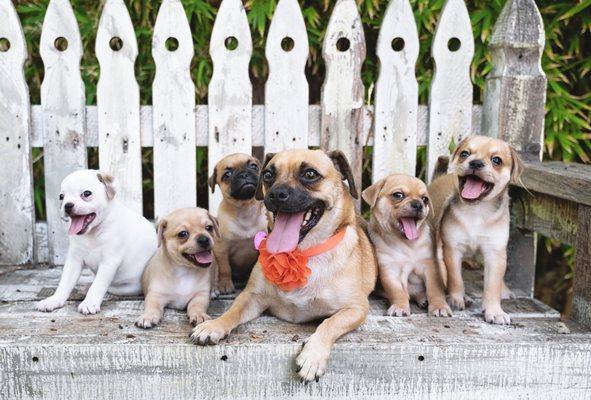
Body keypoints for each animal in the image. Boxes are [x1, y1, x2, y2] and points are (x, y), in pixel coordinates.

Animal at [36, 169, 158, 312]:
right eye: (61, 197)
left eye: (86, 194)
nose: (67, 205)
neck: (92, 234)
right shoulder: (74, 260)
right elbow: (65, 283)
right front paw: (54, 300)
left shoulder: (108, 262)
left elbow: (98, 285)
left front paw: (89, 303)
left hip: (128, 287)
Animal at [208, 152, 268, 294]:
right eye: (227, 175)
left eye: (254, 166)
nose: (244, 174)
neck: (245, 209)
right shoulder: (222, 249)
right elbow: (225, 269)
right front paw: (225, 285)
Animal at [364, 173, 450, 318]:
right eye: (398, 195)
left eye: (425, 199)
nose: (418, 204)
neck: (407, 244)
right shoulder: (390, 271)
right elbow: (397, 292)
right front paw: (400, 306)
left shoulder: (430, 267)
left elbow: (435, 290)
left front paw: (439, 306)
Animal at [430, 134, 524, 324]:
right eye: (465, 154)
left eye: (497, 160)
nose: (475, 163)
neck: (477, 211)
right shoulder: (453, 249)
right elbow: (456, 278)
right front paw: (456, 298)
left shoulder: (495, 253)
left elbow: (493, 285)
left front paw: (495, 310)